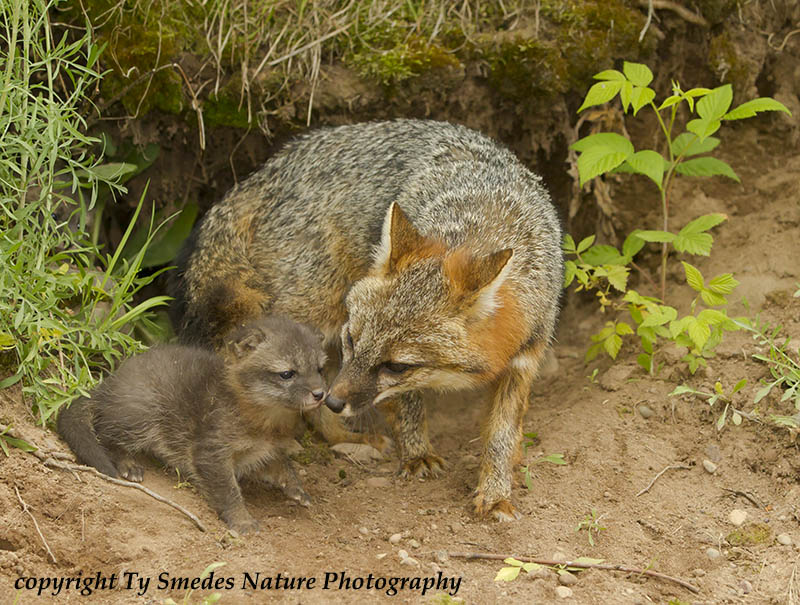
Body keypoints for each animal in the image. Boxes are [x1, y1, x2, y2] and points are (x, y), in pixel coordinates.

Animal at [56, 316, 329, 533]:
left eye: (319, 369)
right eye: (287, 373)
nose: (321, 394)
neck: (264, 424)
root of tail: (106, 384)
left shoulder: (264, 453)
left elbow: (286, 467)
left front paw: (297, 490)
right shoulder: (211, 452)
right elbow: (229, 492)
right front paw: (242, 521)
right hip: (144, 416)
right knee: (105, 433)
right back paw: (127, 464)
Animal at [169, 119, 563, 521]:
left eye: (397, 366)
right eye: (352, 341)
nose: (333, 402)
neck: (484, 216)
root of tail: (264, 173)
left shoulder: (523, 359)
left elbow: (502, 433)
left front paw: (497, 491)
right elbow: (407, 404)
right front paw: (417, 454)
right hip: (311, 310)